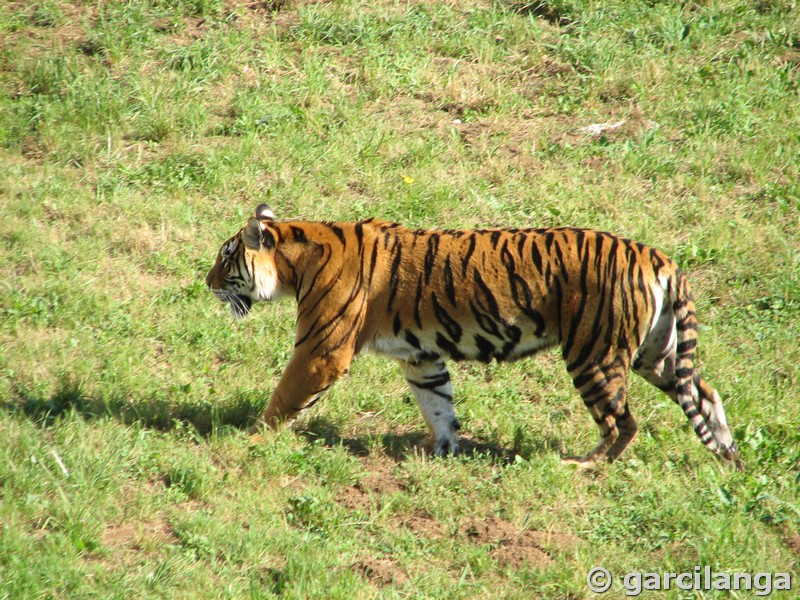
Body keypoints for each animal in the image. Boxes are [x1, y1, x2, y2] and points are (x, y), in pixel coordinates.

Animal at [206, 204, 744, 472]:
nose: (205, 283)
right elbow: (438, 403)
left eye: (226, 257)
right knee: (706, 395)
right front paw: (443, 450)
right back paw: (729, 457)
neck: (295, 259)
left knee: (622, 422)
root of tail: (660, 257)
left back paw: (582, 467)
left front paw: (248, 437)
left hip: (596, 355)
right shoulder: (421, 356)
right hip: (657, 354)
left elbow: (284, 396)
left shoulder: (322, 349)